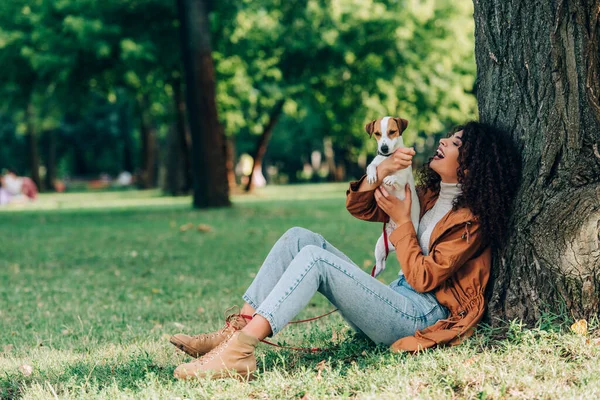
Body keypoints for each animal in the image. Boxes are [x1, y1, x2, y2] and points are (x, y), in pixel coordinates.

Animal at [364, 117, 420, 276]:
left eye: (392, 131)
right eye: (377, 133)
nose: (383, 148)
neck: (387, 159)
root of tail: (393, 245)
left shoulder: (403, 182)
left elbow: (397, 179)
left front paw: (389, 178)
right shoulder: (376, 163)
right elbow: (371, 166)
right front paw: (372, 175)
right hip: (380, 246)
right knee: (380, 265)